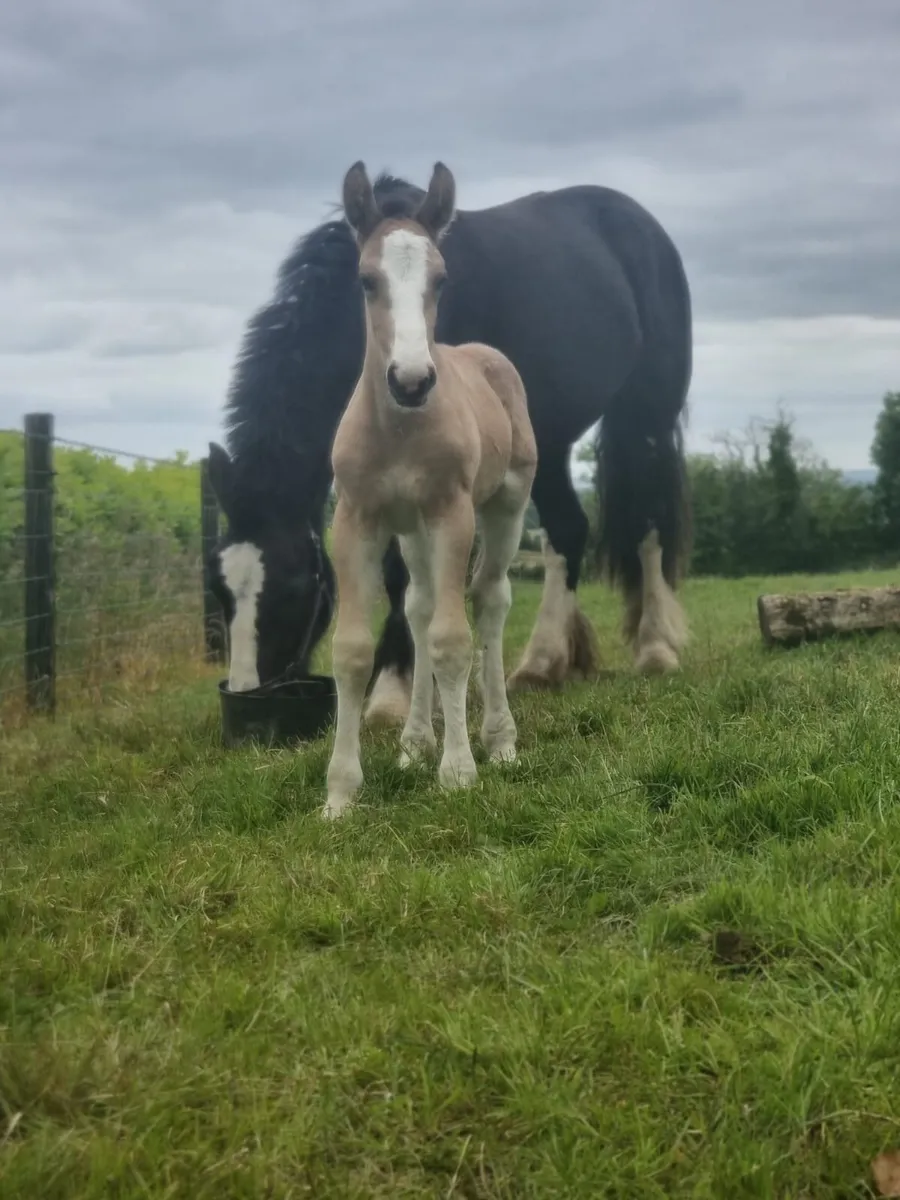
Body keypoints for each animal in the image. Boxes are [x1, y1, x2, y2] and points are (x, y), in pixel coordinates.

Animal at [205, 165, 692, 721]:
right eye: (217, 586)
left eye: (293, 586)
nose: (245, 694)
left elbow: (401, 577)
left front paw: (391, 694)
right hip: (543, 444)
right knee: (569, 531)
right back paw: (542, 663)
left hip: (646, 418)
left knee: (649, 526)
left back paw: (655, 648)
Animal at [324, 161, 538, 819]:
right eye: (366, 280)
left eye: (441, 279)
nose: (412, 380)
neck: (398, 429)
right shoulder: (357, 517)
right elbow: (354, 649)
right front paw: (340, 793)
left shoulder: (451, 512)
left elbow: (451, 639)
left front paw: (459, 772)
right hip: (411, 528)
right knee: (418, 607)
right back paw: (415, 742)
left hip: (505, 505)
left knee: (489, 600)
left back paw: (499, 740)